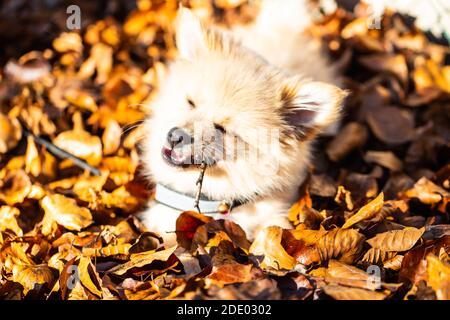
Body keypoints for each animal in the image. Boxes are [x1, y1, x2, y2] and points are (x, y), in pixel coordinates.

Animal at [139, 0, 346, 245]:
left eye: (222, 129)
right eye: (190, 102)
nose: (175, 135)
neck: (215, 202)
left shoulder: (274, 214)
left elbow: (273, 233)